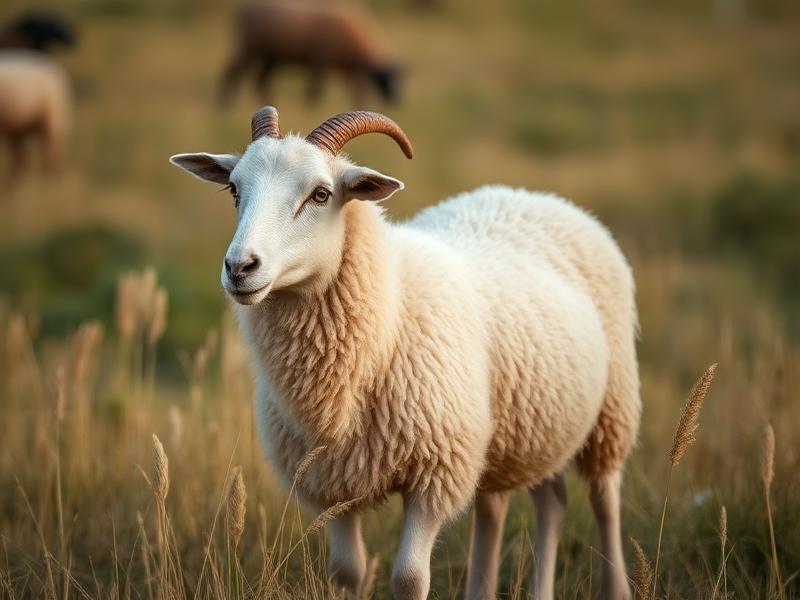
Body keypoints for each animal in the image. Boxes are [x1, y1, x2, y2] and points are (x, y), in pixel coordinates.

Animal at [169, 106, 640, 600]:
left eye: (321, 194)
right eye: (234, 190)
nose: (240, 267)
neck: (390, 312)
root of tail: (530, 194)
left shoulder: (436, 473)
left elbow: (409, 578)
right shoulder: (330, 484)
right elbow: (348, 572)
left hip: (611, 410)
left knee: (603, 498)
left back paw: (616, 586)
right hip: (520, 431)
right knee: (533, 503)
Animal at [218, 1, 401, 107]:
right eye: (384, 81)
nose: (396, 101)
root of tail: (243, 10)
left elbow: (355, 89)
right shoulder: (320, 62)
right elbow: (314, 93)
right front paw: (311, 108)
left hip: (270, 57)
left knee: (260, 81)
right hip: (250, 49)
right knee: (232, 73)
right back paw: (224, 104)